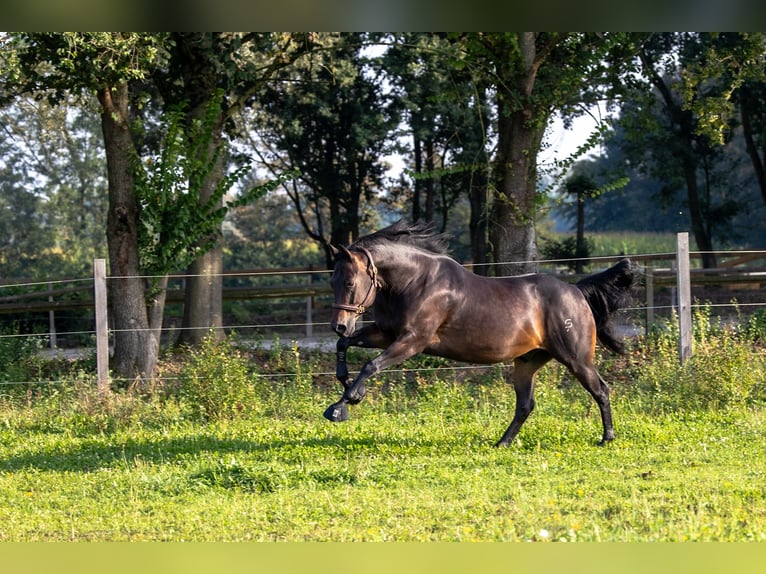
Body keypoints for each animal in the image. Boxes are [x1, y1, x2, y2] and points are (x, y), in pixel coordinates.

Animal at [323, 220, 638, 447]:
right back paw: (502, 443)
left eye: (350, 282)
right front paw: (350, 390)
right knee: (525, 405)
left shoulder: (413, 341)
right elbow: (344, 346)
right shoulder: (387, 334)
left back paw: (606, 438)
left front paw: (340, 407)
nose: (339, 324)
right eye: (332, 280)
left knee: (601, 390)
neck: (416, 281)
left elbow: (370, 365)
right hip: (527, 362)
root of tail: (576, 291)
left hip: (576, 359)